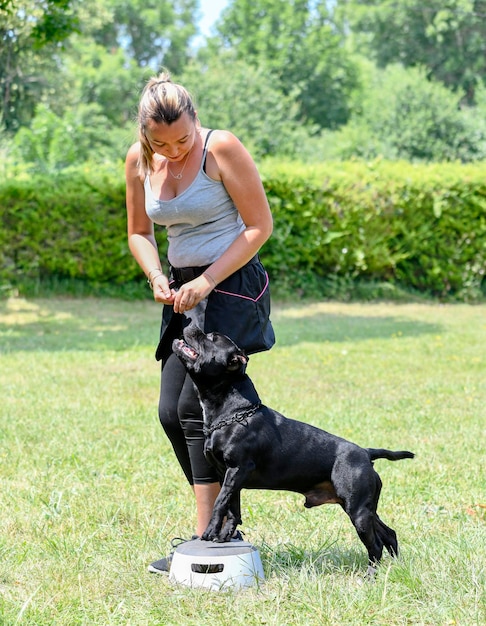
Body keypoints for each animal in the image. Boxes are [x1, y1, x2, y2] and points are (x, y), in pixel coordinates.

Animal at [174, 324, 414, 572]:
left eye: (212, 338)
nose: (191, 324)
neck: (233, 412)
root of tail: (366, 453)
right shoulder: (229, 476)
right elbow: (232, 508)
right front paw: (223, 537)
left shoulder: (237, 470)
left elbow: (219, 503)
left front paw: (210, 532)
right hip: (364, 508)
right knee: (389, 534)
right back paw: (397, 568)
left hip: (358, 512)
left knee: (375, 545)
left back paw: (369, 576)